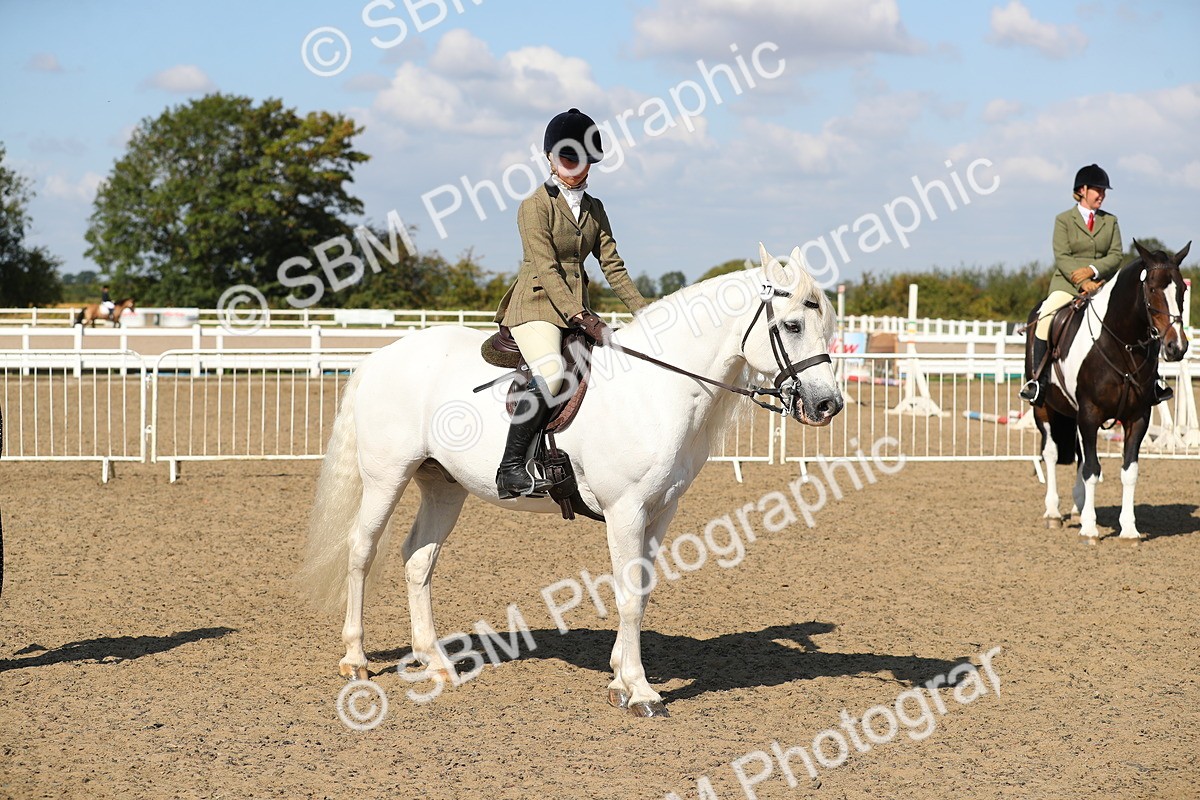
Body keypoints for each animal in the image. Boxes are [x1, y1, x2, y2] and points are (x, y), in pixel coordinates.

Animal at [300, 245, 844, 717]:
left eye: (828, 325)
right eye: (792, 324)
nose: (827, 405)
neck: (655, 388)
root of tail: (379, 357)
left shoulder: (660, 511)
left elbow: (643, 591)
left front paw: (619, 676)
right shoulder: (625, 511)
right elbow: (628, 596)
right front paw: (640, 690)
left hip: (443, 486)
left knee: (418, 559)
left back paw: (435, 662)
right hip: (385, 477)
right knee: (361, 550)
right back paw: (356, 660)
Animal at [1027, 240, 1191, 543]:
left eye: (1182, 291)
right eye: (1152, 289)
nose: (1177, 347)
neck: (1121, 344)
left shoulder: (1137, 418)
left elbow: (1129, 471)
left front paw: (1128, 529)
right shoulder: (1090, 413)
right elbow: (1092, 469)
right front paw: (1090, 530)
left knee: (1080, 455)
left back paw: (1078, 509)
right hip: (1042, 408)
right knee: (1052, 453)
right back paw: (1054, 513)